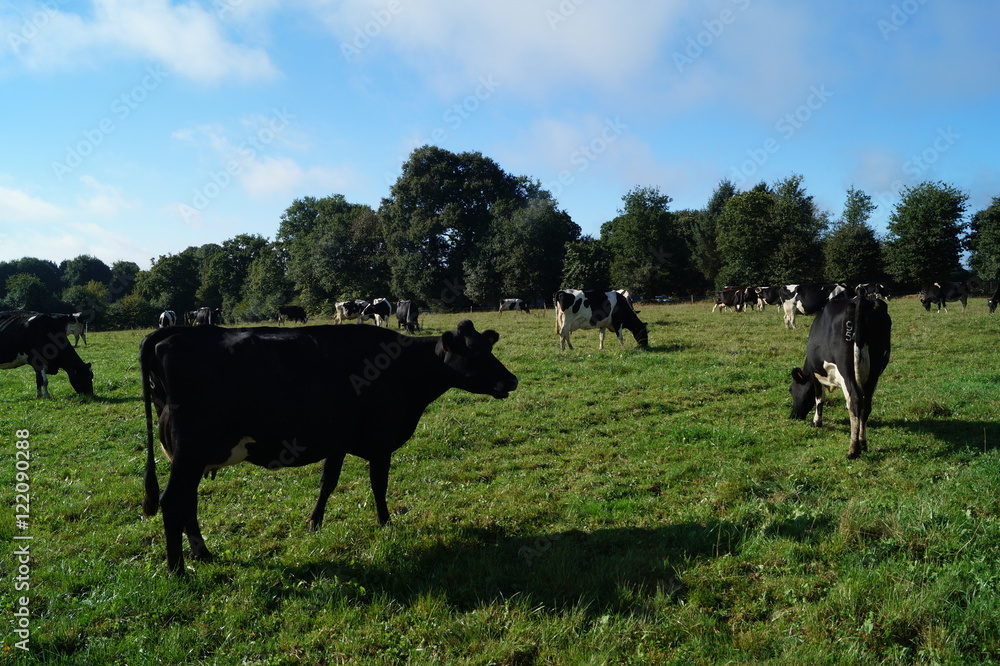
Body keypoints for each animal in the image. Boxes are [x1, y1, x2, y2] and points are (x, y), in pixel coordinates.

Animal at [139, 319, 518, 574]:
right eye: (473, 352)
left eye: (489, 348)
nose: (512, 380)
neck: (405, 369)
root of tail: (176, 333)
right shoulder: (381, 441)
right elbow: (378, 485)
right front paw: (386, 524)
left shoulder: (338, 440)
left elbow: (328, 483)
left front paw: (314, 523)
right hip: (190, 453)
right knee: (172, 501)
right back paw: (177, 570)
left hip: (189, 457)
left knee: (187, 501)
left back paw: (202, 553)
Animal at [790, 288, 891, 459]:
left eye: (791, 390)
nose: (793, 416)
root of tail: (859, 299)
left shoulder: (816, 375)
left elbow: (819, 398)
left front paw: (816, 422)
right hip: (875, 371)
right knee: (866, 404)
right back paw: (863, 443)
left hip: (846, 369)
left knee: (855, 401)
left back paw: (853, 450)